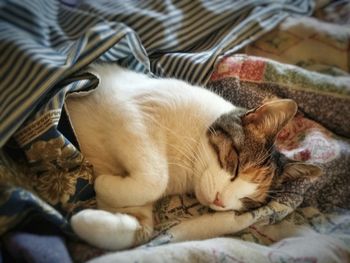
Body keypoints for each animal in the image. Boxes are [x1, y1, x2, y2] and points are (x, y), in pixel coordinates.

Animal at [65, 64, 320, 252]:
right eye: (236, 167)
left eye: (249, 201)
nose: (220, 202)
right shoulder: (130, 110)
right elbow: (156, 179)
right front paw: (101, 184)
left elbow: (140, 229)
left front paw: (87, 214)